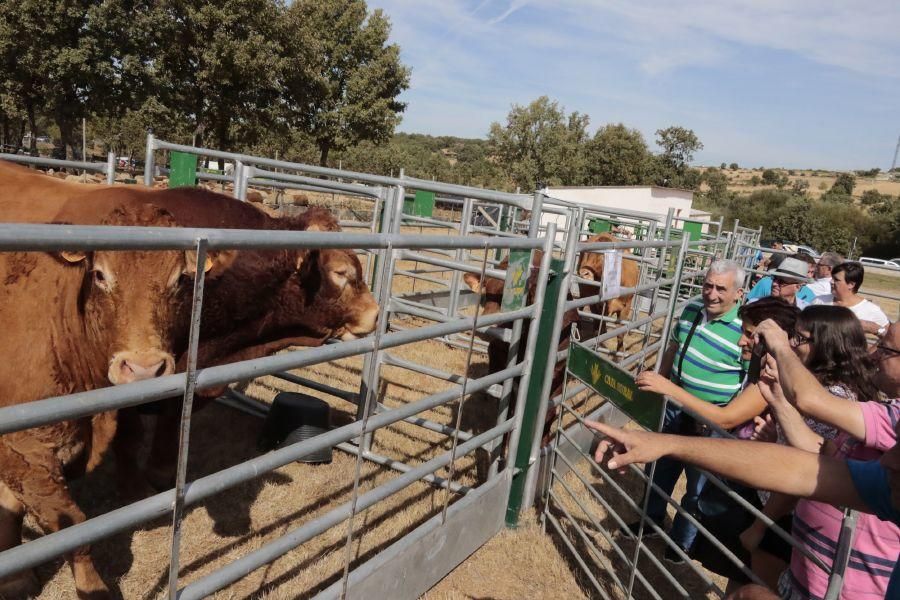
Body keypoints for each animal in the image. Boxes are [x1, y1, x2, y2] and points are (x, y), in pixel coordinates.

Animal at [0, 203, 229, 600]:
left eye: (180, 280)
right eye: (100, 275)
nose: (143, 369)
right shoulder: (22, 448)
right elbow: (72, 524)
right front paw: (90, 587)